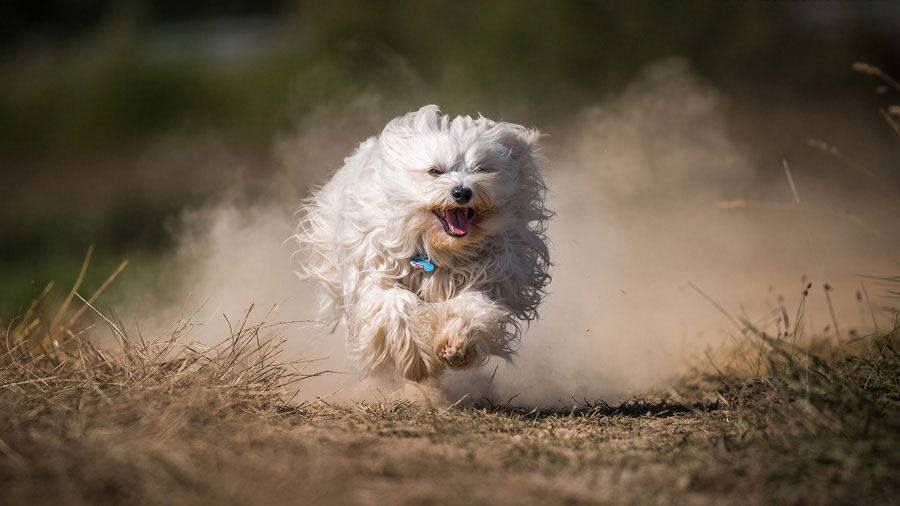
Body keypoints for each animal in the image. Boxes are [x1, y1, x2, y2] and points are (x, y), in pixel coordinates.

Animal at [298, 105, 548, 382]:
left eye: (480, 169)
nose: (462, 192)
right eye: (435, 171)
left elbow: (471, 306)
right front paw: (416, 358)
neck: (437, 248)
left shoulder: (490, 275)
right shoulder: (374, 272)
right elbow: (395, 305)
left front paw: (457, 343)